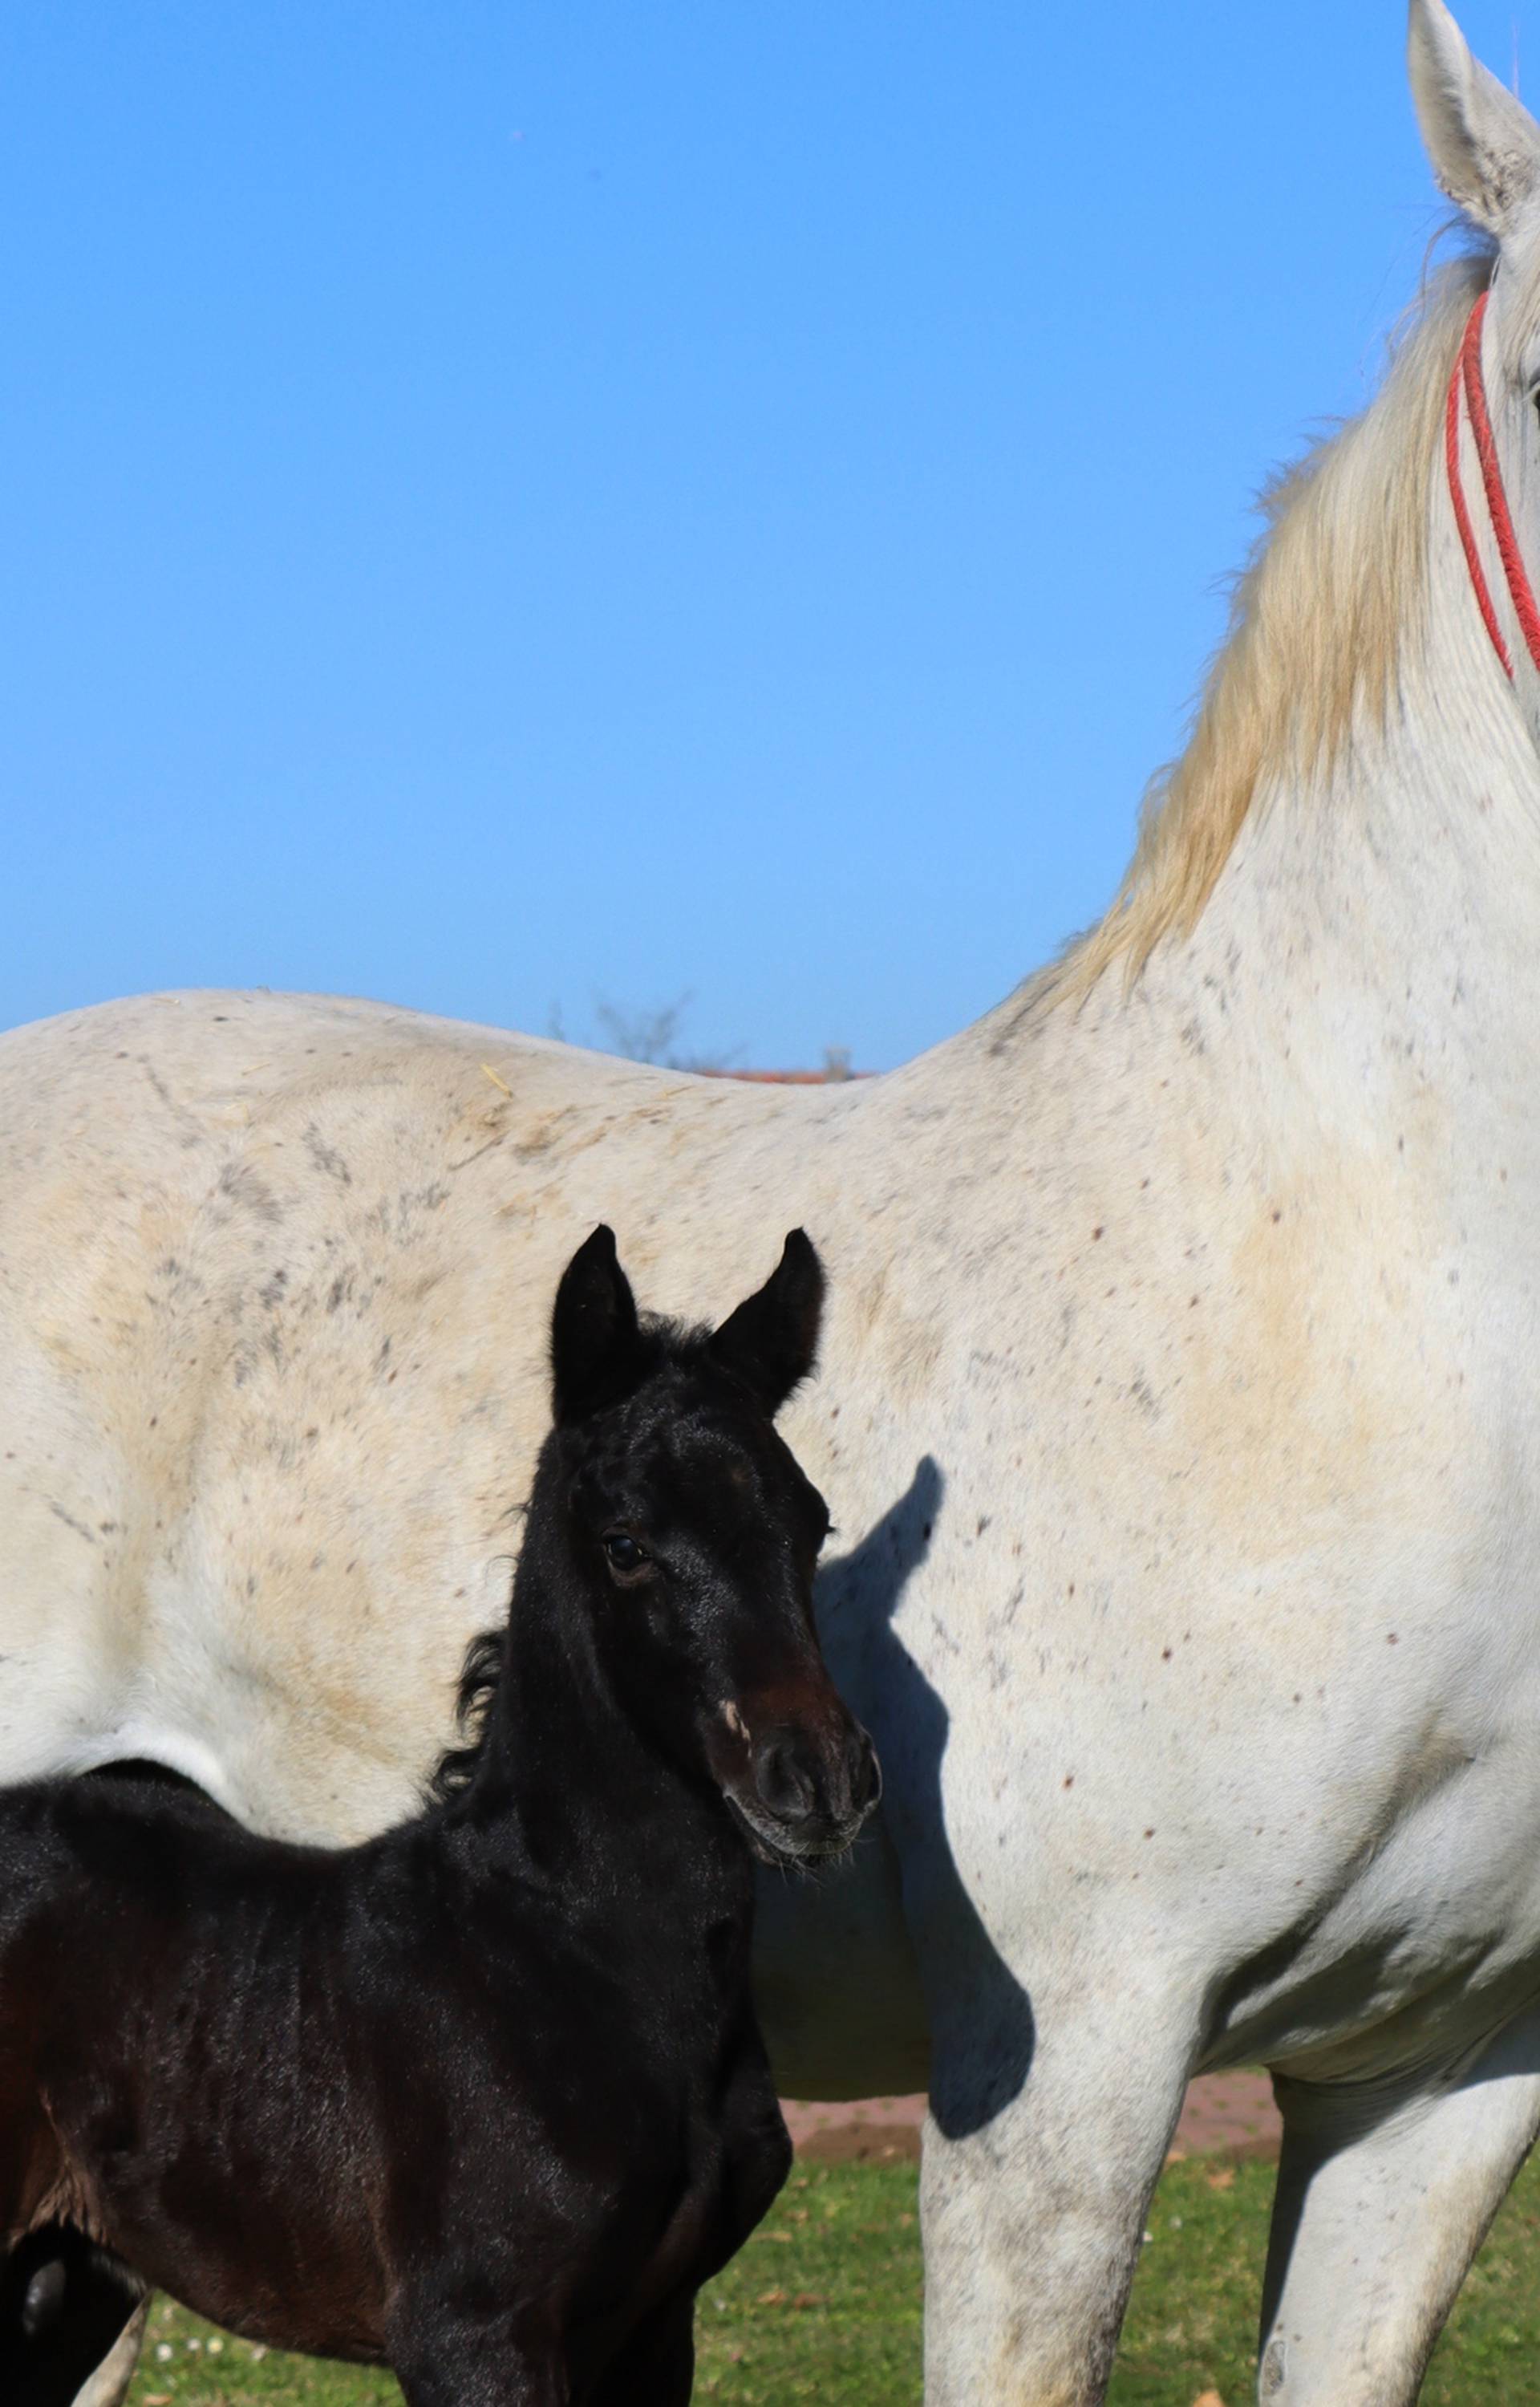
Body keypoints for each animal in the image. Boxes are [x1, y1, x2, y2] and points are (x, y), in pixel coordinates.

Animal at [0, 1232, 876, 2397]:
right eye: (626, 1542)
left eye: (811, 1523)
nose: (819, 1778)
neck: (564, 1954)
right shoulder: (473, 2333)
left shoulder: (656, 2329)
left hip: (64, 2282)